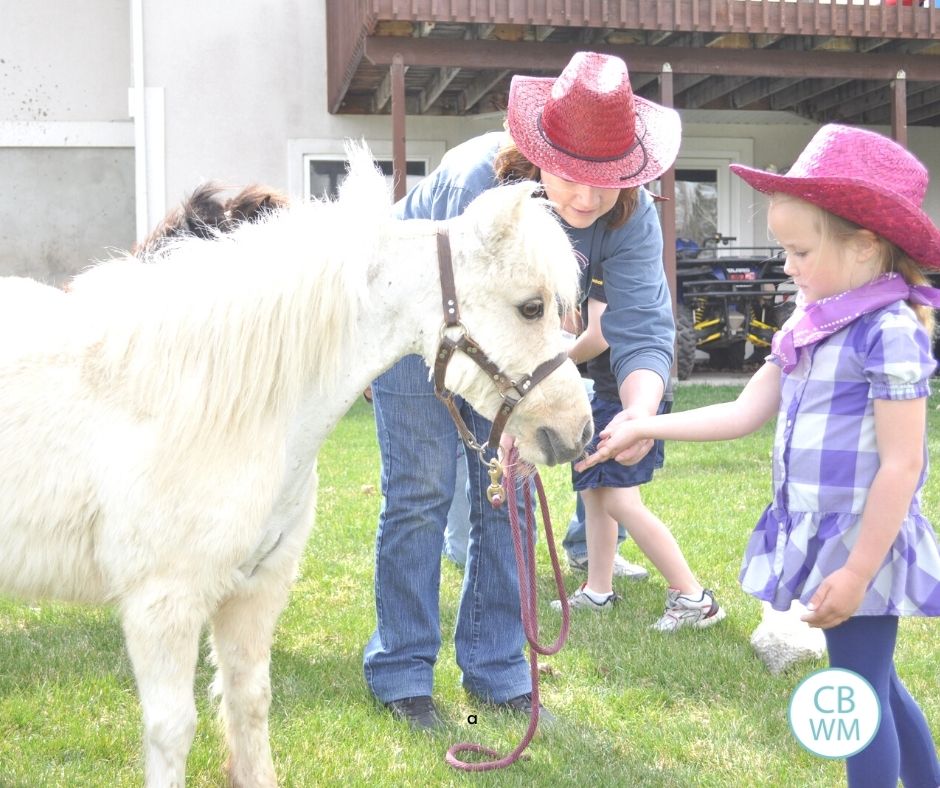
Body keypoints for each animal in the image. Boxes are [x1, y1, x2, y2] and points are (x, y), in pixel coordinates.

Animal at [0, 145, 588, 784]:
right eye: (530, 307)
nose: (579, 430)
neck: (215, 403)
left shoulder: (254, 591)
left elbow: (249, 705)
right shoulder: (163, 605)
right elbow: (171, 729)